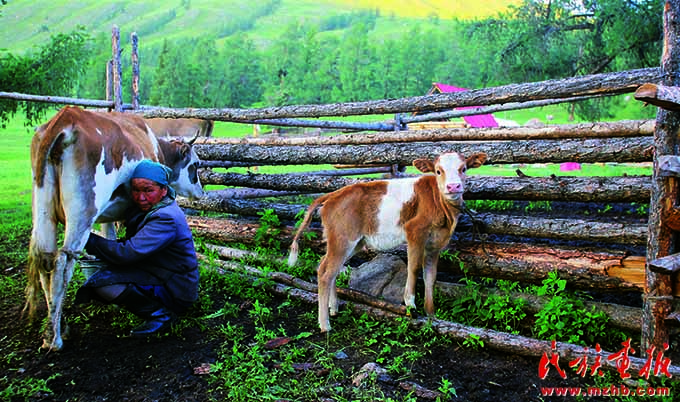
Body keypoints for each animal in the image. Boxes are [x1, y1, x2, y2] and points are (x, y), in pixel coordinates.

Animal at [24, 105, 205, 350]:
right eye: (195, 164)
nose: (201, 193)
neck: (155, 146)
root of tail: (64, 119)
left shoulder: (108, 216)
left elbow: (110, 243)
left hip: (43, 210)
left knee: (46, 261)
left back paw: (58, 328)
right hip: (83, 211)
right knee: (62, 262)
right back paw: (55, 338)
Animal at [286, 152, 484, 332]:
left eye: (463, 169)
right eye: (438, 171)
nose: (453, 186)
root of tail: (332, 195)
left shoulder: (434, 244)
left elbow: (431, 276)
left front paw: (431, 314)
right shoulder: (414, 231)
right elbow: (414, 268)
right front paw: (410, 305)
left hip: (352, 242)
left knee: (325, 265)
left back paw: (333, 308)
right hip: (343, 239)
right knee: (326, 273)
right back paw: (325, 325)